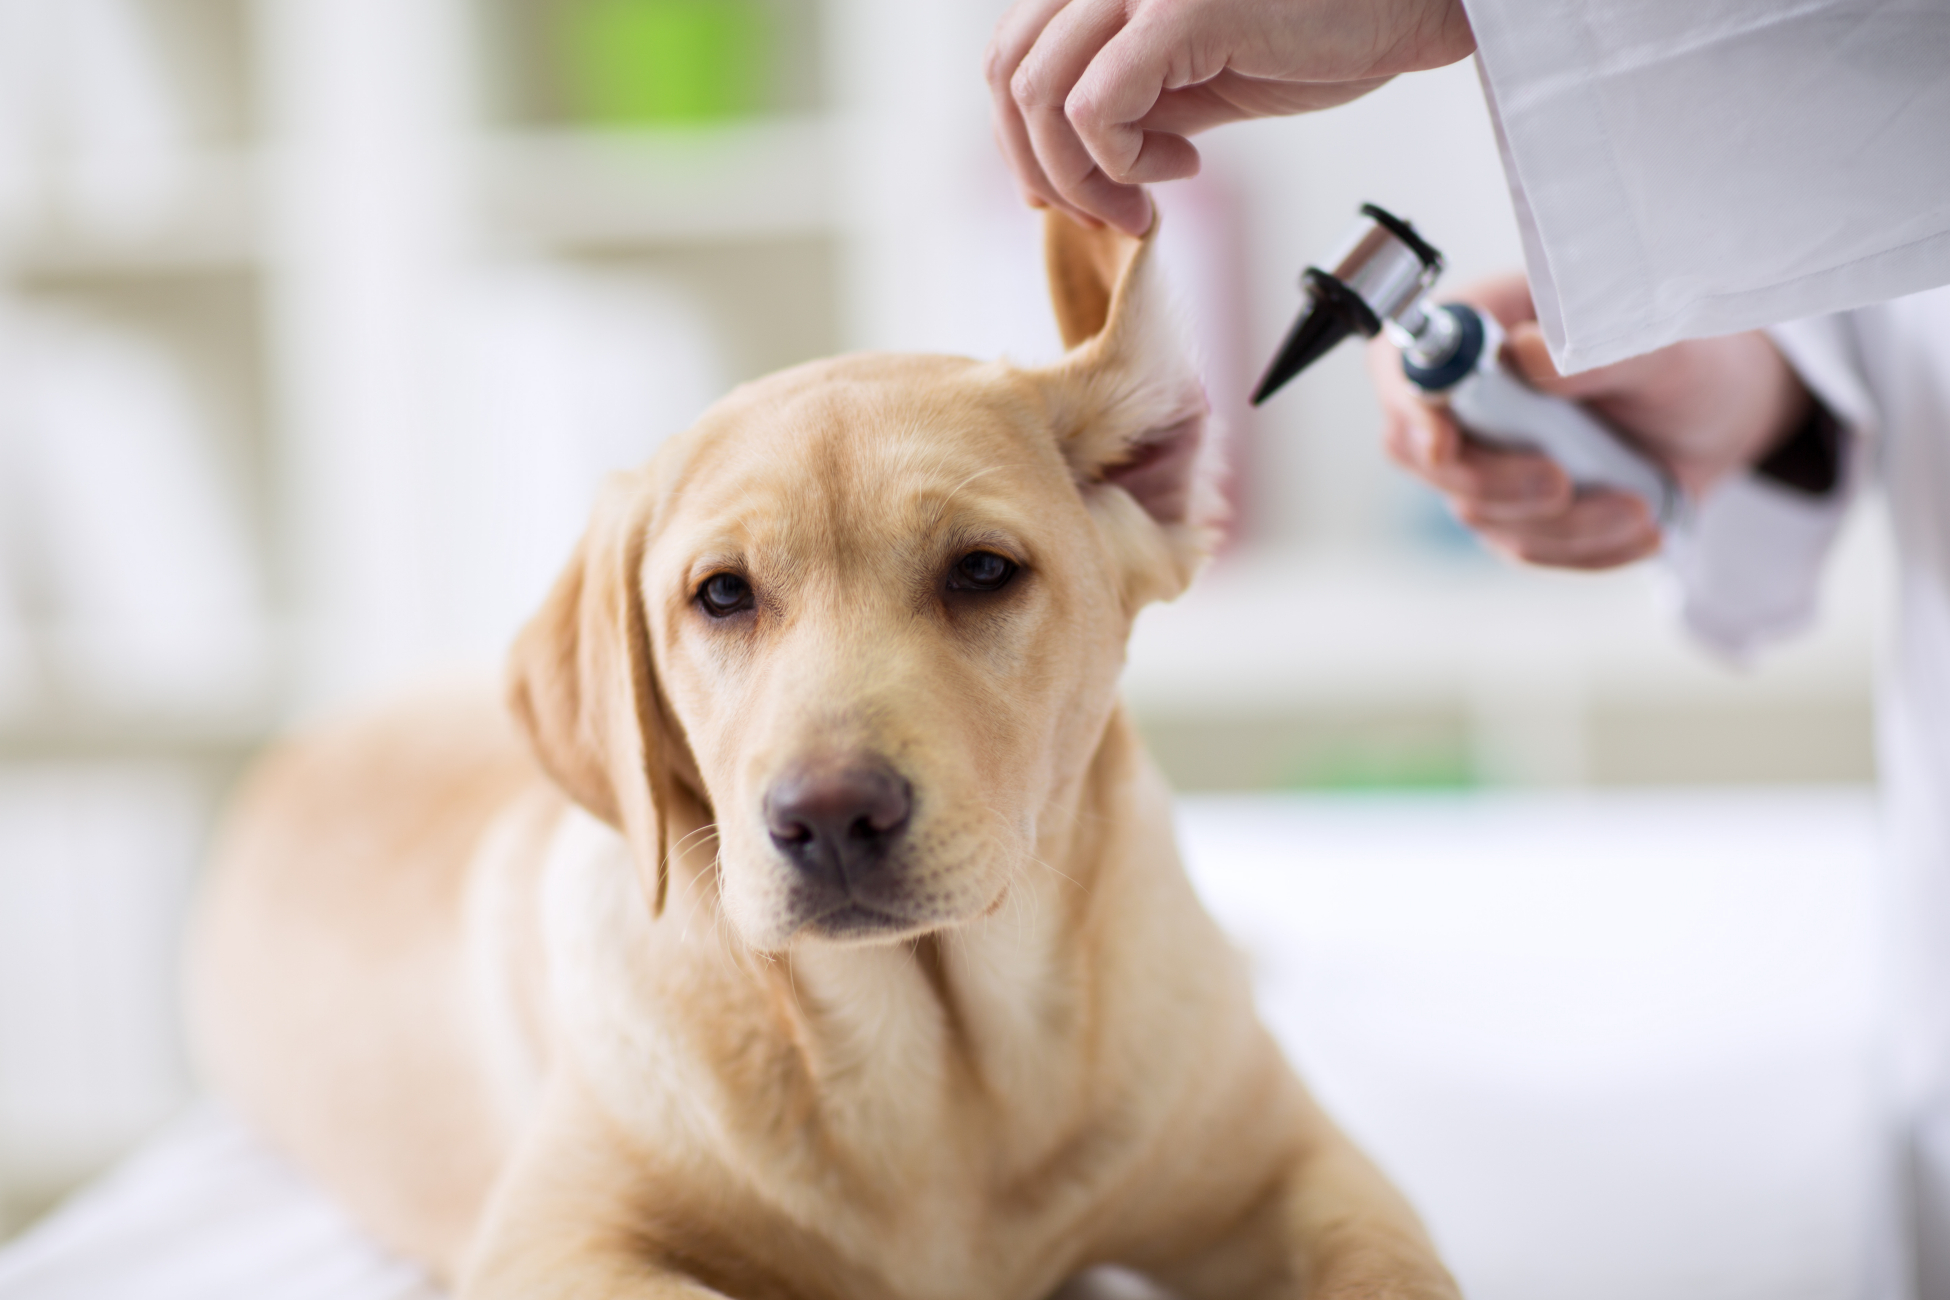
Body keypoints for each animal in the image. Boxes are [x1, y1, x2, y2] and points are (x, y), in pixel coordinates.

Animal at [186, 213, 1466, 1300]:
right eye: (720, 594)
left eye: (983, 570)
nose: (830, 817)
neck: (945, 1066)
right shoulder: (556, 1242)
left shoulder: (1306, 1173)